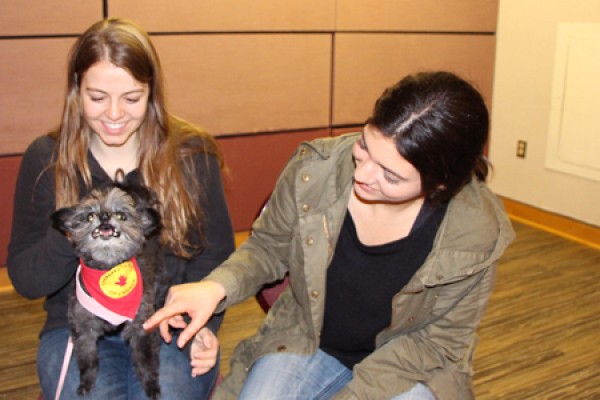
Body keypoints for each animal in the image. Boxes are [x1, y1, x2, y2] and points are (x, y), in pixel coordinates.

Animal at [52, 183, 169, 398]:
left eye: (122, 215)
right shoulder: (83, 328)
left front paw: (151, 385)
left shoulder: (141, 326)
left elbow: (146, 360)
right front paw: (86, 382)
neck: (108, 270)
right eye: (90, 216)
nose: (105, 216)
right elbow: (87, 359)